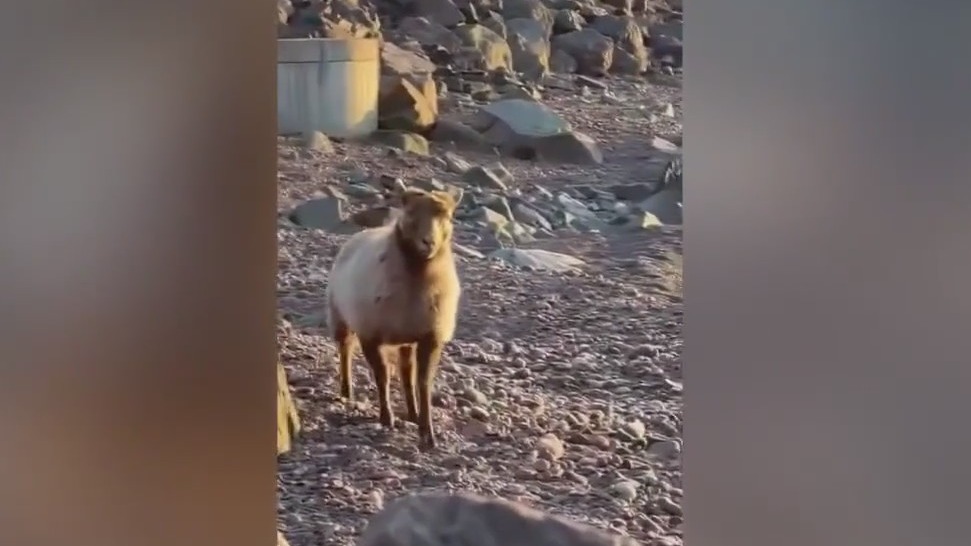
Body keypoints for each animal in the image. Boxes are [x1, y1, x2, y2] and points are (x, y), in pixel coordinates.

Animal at [325, 187, 462, 450]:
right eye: (410, 212)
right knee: (345, 351)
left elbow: (423, 383)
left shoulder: (431, 337)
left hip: (406, 339)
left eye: (448, 217)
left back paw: (412, 412)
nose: (428, 242)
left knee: (406, 372)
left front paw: (427, 433)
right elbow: (383, 377)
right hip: (340, 316)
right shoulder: (370, 335)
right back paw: (347, 392)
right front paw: (386, 418)